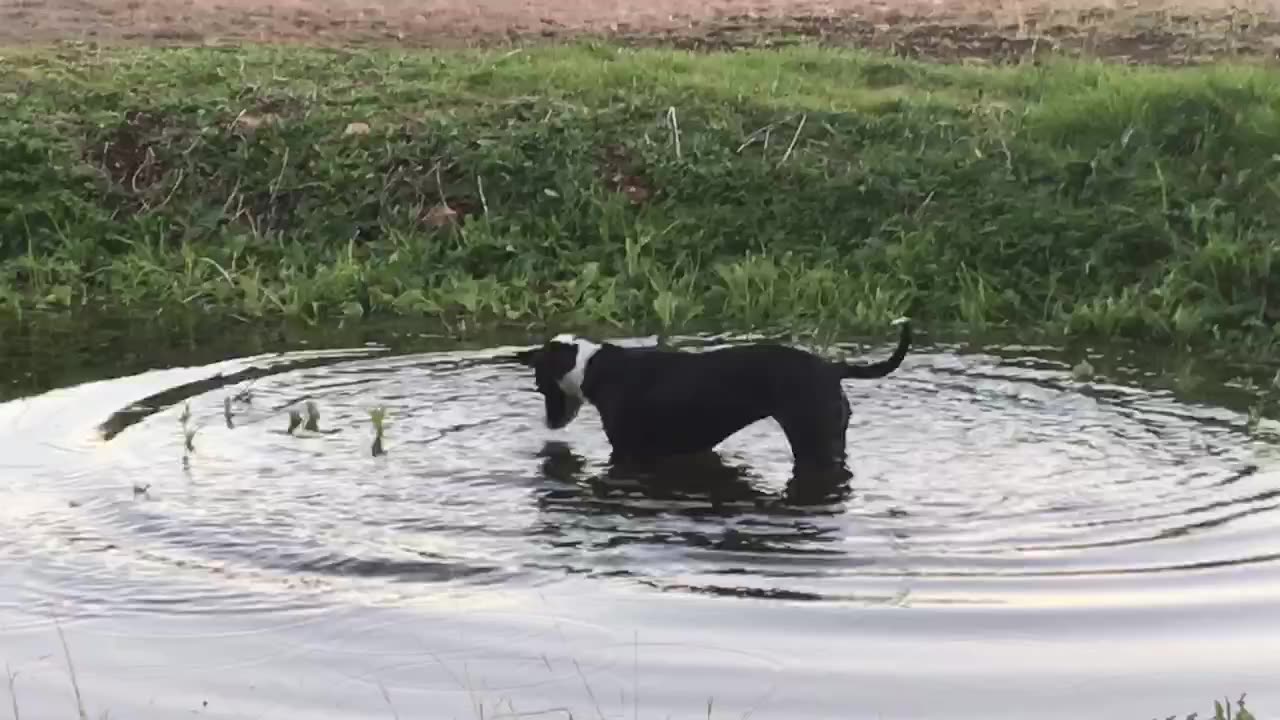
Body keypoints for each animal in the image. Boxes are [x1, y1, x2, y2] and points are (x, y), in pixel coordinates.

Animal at [509, 317, 911, 474]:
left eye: (540, 386)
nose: (549, 424)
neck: (593, 366)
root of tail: (832, 367)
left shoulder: (626, 451)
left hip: (813, 442)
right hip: (833, 438)